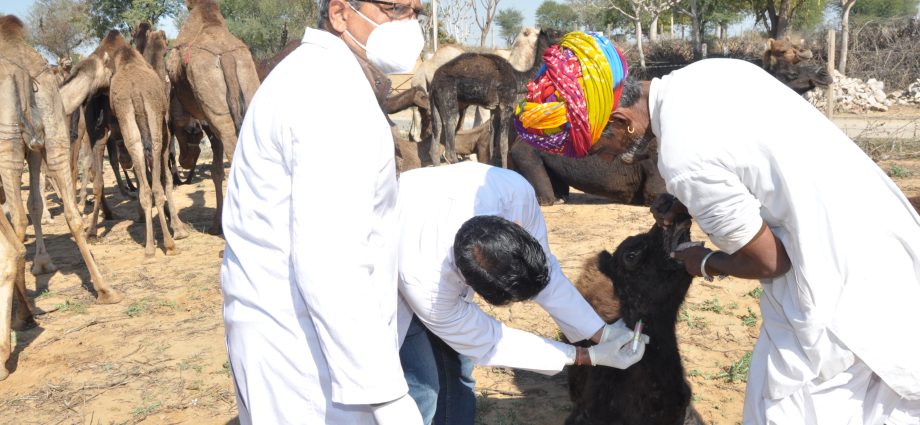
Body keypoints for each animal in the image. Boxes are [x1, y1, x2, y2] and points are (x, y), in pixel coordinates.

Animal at [167, 0, 260, 234]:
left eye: (189, 134)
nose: (185, 161)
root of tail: (226, 56)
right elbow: (216, 170)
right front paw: (216, 224)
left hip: (219, 113)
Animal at [430, 27, 560, 167]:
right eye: (555, 33)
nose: (565, 34)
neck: (517, 77)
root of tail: (433, 82)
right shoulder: (506, 106)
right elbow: (503, 145)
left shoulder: (494, 110)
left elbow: (492, 143)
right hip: (448, 98)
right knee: (449, 140)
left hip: (436, 105)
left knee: (435, 143)